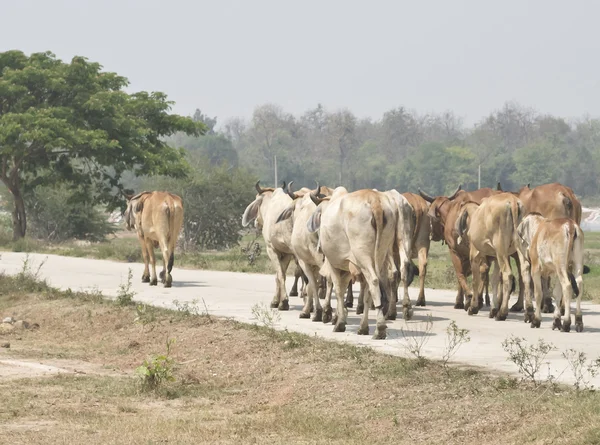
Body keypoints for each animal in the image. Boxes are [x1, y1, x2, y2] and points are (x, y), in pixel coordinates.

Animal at [241, 180, 308, 308]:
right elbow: (282, 274)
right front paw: (280, 300)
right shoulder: (286, 253)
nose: (256, 222)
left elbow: (279, 275)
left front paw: (280, 301)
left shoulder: (271, 249)